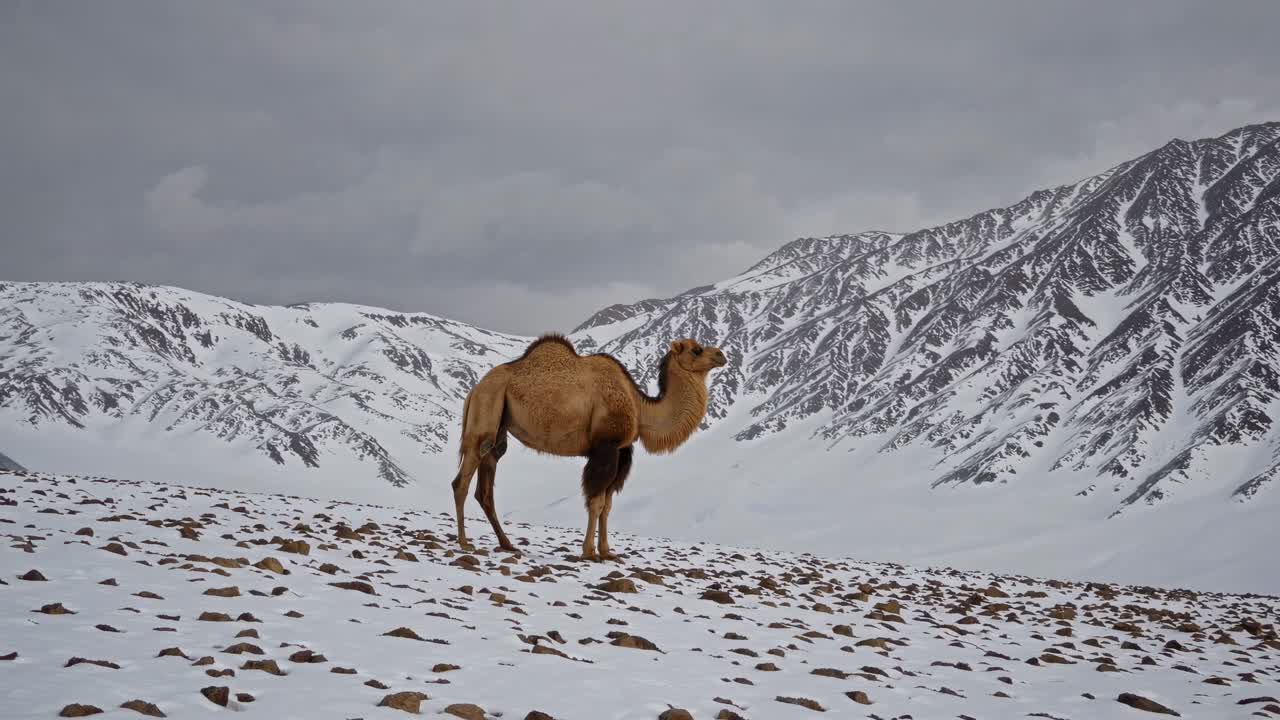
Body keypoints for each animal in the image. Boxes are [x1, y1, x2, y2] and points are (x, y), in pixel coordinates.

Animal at [450, 333, 727, 561]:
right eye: (697, 350)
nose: (721, 355)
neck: (640, 408)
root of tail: (475, 389)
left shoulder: (622, 451)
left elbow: (607, 505)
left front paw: (607, 552)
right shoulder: (605, 447)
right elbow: (595, 502)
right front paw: (589, 552)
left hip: (498, 426)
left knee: (485, 487)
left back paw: (507, 544)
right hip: (486, 412)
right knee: (461, 481)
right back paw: (465, 543)